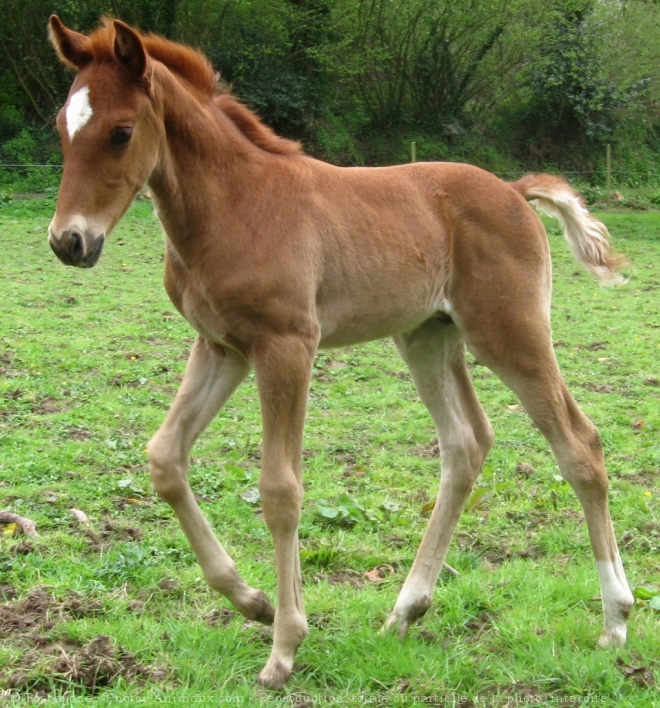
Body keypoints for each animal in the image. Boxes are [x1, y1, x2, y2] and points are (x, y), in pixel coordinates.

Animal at [47, 16, 636, 692]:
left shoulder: (286, 346)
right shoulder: (222, 346)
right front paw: (253, 602)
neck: (234, 203)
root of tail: (515, 190)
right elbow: (165, 459)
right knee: (466, 445)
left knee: (579, 445)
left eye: (121, 133)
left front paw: (284, 647)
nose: (69, 241)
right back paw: (405, 612)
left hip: (510, 333)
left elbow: (280, 490)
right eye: (63, 126)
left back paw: (616, 621)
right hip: (428, 337)